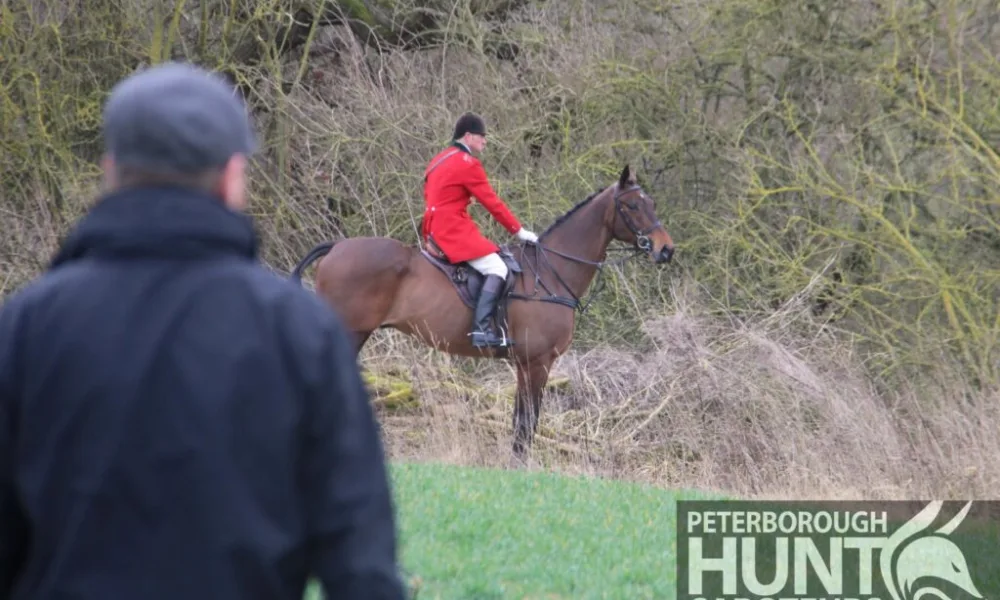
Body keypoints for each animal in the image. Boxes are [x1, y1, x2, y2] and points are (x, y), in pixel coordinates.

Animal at [292, 162, 680, 462]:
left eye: (651, 202)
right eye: (632, 206)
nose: (666, 250)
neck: (551, 270)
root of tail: (337, 247)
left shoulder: (526, 364)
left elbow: (521, 422)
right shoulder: (537, 362)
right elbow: (526, 424)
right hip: (349, 334)